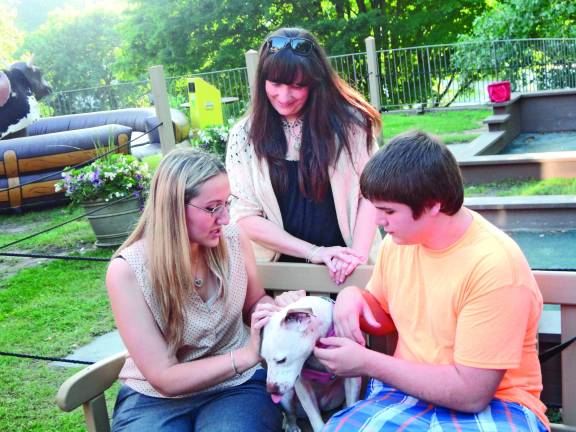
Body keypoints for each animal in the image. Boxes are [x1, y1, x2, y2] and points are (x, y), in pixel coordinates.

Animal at [260, 296, 360, 432]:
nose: (270, 390)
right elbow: (315, 419)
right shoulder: (302, 387)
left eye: (281, 360)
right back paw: (291, 425)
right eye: (264, 360)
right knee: (291, 414)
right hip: (287, 396)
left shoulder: (352, 377)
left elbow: (353, 405)